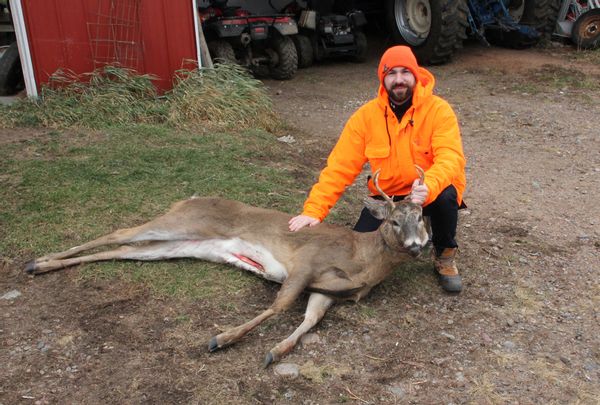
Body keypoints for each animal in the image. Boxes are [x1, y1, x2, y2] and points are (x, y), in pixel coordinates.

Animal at [25, 169, 428, 364]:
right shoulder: (306, 261)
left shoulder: (327, 289)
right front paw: (223, 338)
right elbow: (279, 305)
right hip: (184, 222)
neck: (363, 262)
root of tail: (186, 199)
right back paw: (37, 260)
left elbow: (310, 320)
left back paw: (42, 266)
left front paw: (276, 351)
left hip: (183, 244)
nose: (417, 245)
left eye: (422, 218)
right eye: (394, 221)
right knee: (121, 232)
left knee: (126, 249)